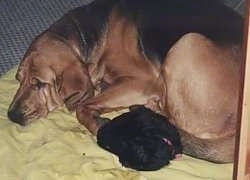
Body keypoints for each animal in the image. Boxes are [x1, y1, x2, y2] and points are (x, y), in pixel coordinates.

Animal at [7, 0, 242, 163]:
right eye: (19, 79)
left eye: (39, 83)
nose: (12, 116)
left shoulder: (142, 82)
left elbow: (82, 107)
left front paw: (98, 123)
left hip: (187, 42)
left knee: (172, 117)